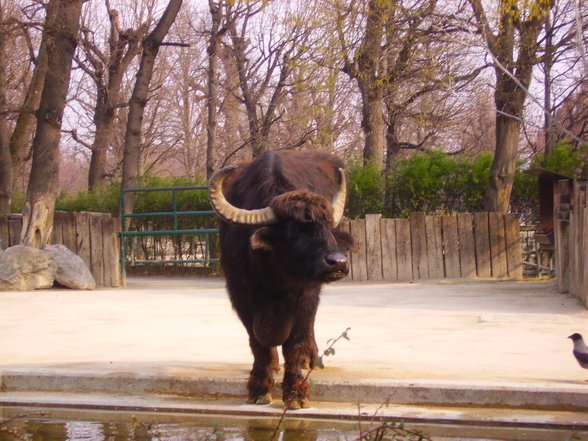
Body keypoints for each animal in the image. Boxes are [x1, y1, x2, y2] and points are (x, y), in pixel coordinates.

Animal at [207, 150, 354, 408]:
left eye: (326, 226)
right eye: (295, 230)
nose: (338, 262)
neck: (274, 279)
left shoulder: (305, 295)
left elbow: (294, 343)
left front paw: (296, 393)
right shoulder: (240, 295)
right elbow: (257, 343)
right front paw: (259, 387)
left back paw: (309, 358)